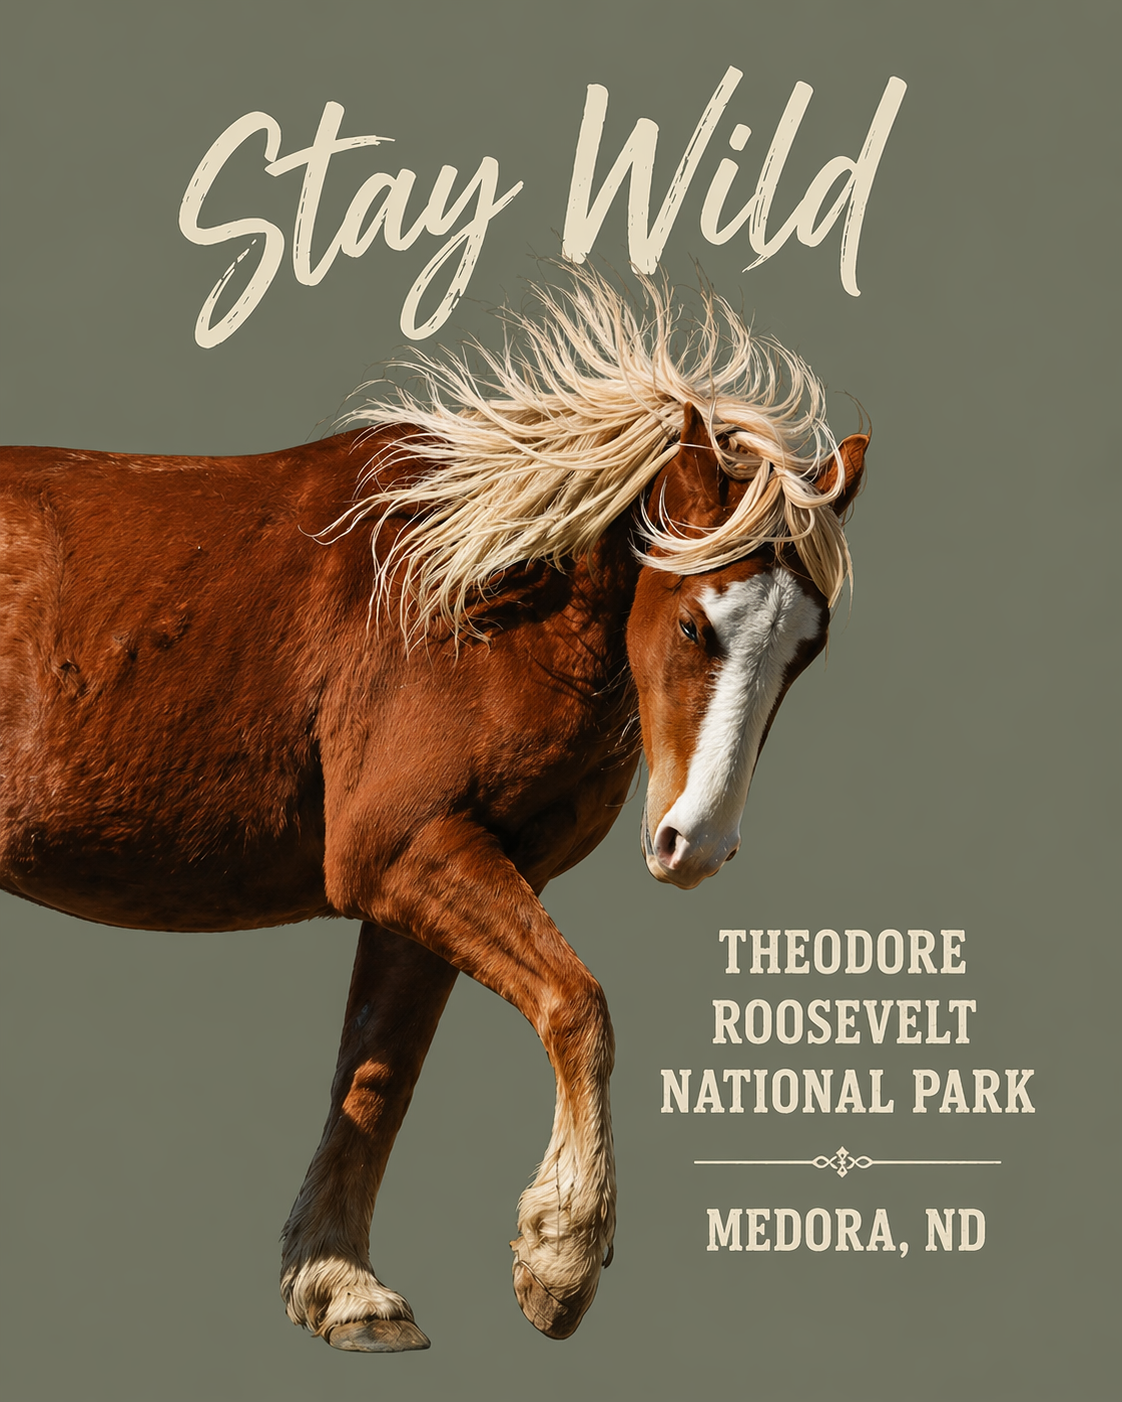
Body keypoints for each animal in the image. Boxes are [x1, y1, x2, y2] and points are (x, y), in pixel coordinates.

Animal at [0, 269, 866, 1352]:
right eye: (693, 623)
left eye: (808, 648)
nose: (697, 843)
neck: (463, 607)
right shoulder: (404, 853)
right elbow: (578, 1006)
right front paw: (561, 1260)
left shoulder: (438, 879)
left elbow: (379, 1075)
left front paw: (340, 1284)